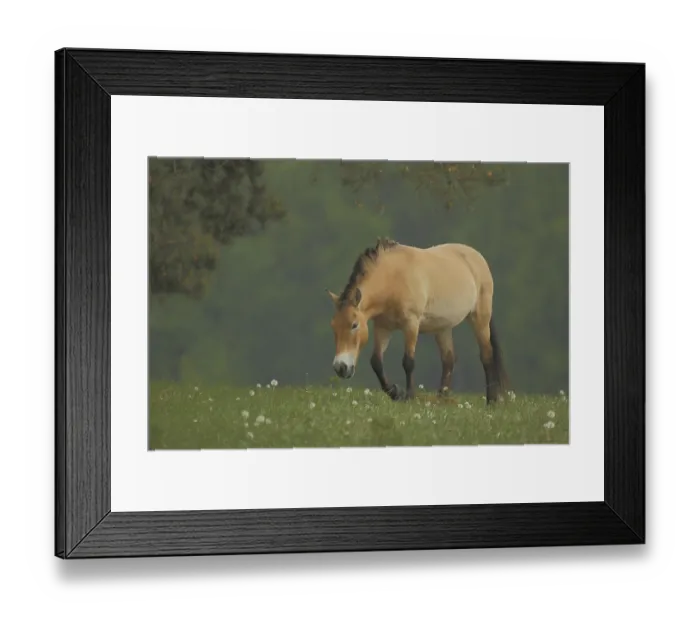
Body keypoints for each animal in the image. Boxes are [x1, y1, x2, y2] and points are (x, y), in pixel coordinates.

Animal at [327, 237, 508, 404]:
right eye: (333, 327)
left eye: (354, 325)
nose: (340, 367)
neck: (394, 279)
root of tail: (476, 257)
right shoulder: (383, 327)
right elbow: (376, 362)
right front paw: (395, 392)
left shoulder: (411, 324)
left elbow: (408, 362)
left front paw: (409, 396)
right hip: (443, 328)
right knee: (449, 360)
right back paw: (441, 400)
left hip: (480, 318)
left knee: (487, 356)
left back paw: (491, 401)